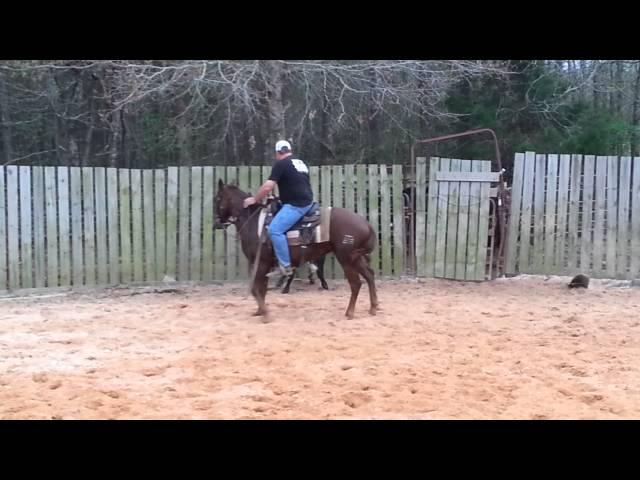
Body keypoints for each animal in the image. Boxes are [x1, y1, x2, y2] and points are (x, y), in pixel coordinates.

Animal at [215, 179, 378, 318]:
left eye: (217, 198)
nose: (216, 224)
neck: (254, 222)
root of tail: (366, 224)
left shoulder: (260, 263)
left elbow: (256, 288)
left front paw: (265, 313)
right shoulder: (264, 264)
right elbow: (262, 288)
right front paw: (260, 311)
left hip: (346, 259)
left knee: (356, 283)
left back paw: (349, 312)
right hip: (356, 258)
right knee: (369, 276)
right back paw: (373, 307)